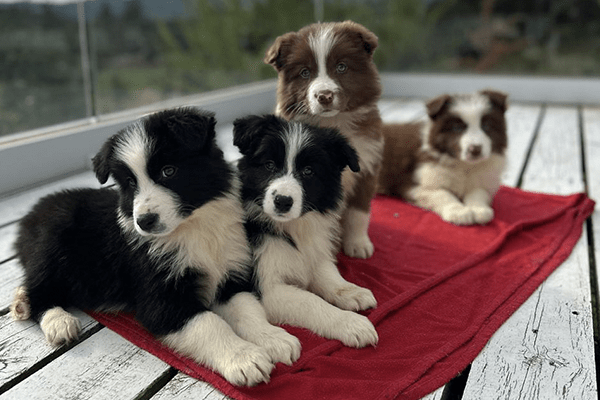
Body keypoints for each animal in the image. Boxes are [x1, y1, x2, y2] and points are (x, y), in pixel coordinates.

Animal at [9, 108, 300, 386]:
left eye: (168, 171)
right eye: (130, 183)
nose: (144, 221)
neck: (192, 228)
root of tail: (34, 211)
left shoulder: (230, 273)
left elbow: (249, 309)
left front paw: (274, 338)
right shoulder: (160, 297)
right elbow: (209, 323)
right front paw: (244, 358)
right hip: (54, 243)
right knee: (40, 287)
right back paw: (55, 320)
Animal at [233, 114, 378, 348]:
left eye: (308, 171)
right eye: (269, 165)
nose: (283, 201)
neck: (291, 228)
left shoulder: (313, 253)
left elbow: (328, 274)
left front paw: (351, 291)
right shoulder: (265, 286)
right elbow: (310, 301)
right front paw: (351, 323)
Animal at [264, 21, 384, 260]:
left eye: (341, 67)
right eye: (305, 72)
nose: (324, 96)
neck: (334, 122)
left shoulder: (367, 166)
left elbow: (358, 213)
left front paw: (358, 244)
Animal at [378, 91, 508, 227]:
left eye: (486, 126)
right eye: (457, 128)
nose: (475, 149)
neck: (464, 165)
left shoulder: (484, 180)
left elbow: (478, 191)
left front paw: (479, 209)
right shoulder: (412, 184)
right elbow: (442, 193)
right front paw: (458, 211)